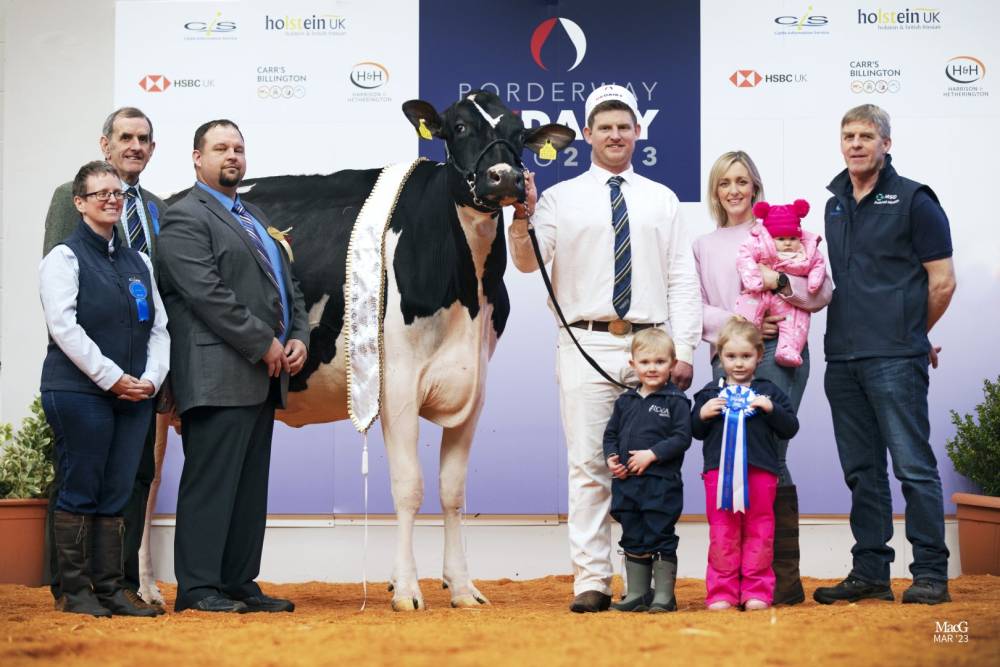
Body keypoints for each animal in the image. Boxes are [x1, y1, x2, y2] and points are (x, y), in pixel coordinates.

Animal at [142, 91, 574, 611]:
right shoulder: (398, 385)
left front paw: (463, 587)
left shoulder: (474, 384)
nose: (505, 178)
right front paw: (406, 589)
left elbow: (452, 492)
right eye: (459, 127)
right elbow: (409, 487)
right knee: (146, 486)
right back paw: (146, 589)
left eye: (517, 132)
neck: (465, 293)